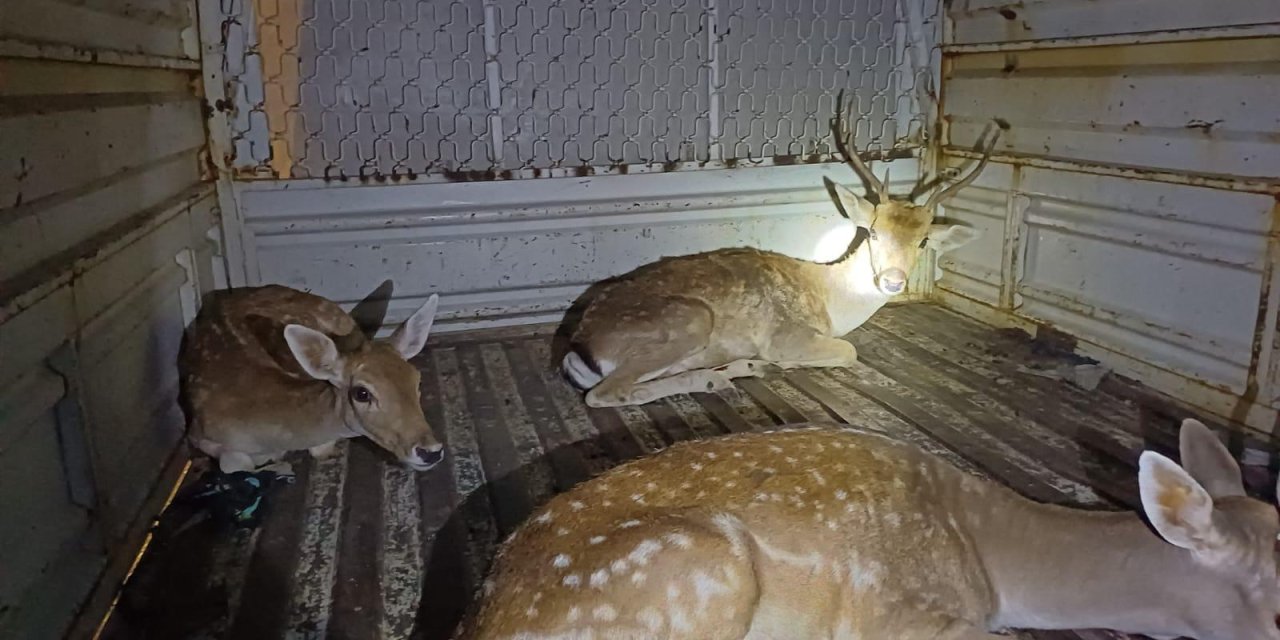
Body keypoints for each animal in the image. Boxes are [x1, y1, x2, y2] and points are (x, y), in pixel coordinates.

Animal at [565, 91, 1003, 404]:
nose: (893, 280)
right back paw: (722, 375)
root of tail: (579, 346)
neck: (830, 298)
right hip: (687, 319)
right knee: (605, 393)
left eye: (924, 239)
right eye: (874, 232)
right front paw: (779, 362)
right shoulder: (788, 333)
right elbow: (848, 350)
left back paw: (735, 368)